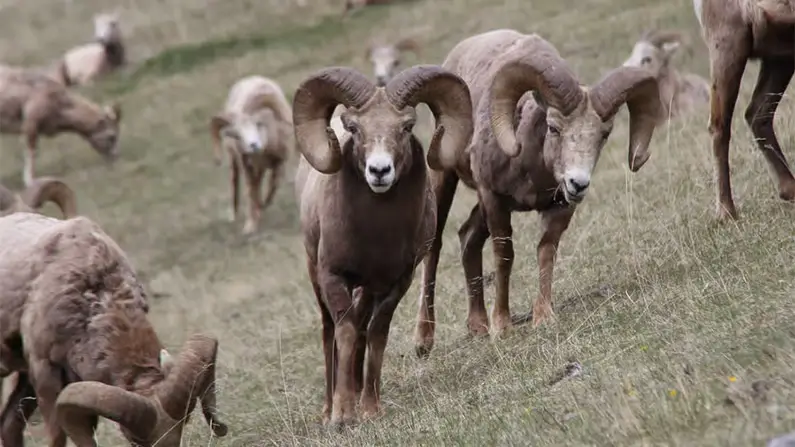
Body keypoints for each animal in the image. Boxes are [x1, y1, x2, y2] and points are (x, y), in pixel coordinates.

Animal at [209, 75, 294, 235]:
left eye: (257, 124)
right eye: (237, 134)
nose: (252, 146)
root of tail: (249, 79)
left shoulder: (281, 161)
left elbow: (273, 184)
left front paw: (264, 205)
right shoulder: (246, 167)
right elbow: (251, 193)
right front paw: (250, 227)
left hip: (259, 168)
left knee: (259, 184)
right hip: (236, 163)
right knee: (236, 184)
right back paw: (235, 214)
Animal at [292, 64, 473, 426]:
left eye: (406, 126)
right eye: (353, 128)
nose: (379, 171)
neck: (376, 238)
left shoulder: (396, 283)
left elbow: (376, 334)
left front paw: (370, 408)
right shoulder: (334, 277)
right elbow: (345, 333)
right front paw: (343, 416)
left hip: (366, 290)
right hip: (317, 277)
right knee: (329, 332)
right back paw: (327, 408)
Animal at [413, 29, 662, 357]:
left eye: (604, 134)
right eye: (554, 127)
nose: (577, 184)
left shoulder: (559, 208)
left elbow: (546, 251)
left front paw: (543, 317)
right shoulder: (494, 200)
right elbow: (504, 257)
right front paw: (503, 327)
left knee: (468, 238)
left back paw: (478, 326)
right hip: (444, 180)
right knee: (433, 247)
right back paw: (424, 341)